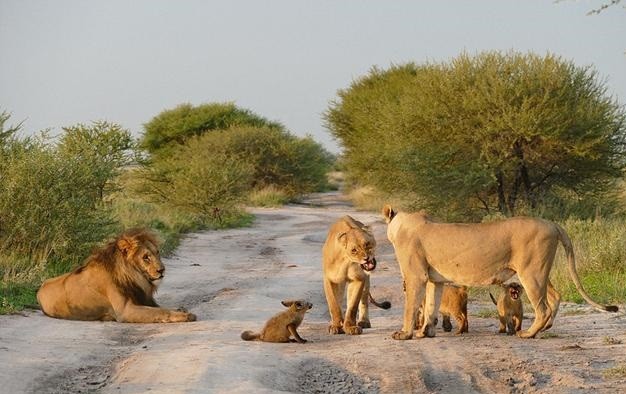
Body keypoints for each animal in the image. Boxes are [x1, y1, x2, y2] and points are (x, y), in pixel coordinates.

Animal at [36, 228, 195, 324]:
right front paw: (186, 315)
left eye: (157, 253)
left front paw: (181, 310)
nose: (162, 270)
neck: (135, 277)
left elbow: (163, 308)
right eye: (145, 257)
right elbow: (161, 311)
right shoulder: (125, 311)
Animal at [380, 206, 616, 338]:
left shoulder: (416, 276)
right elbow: (430, 305)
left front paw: (405, 334)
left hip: (531, 273)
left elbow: (411, 306)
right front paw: (424, 333)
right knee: (555, 296)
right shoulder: (434, 280)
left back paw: (528, 334)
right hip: (539, 271)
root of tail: (552, 224)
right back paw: (545, 328)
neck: (401, 225)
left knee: (542, 307)